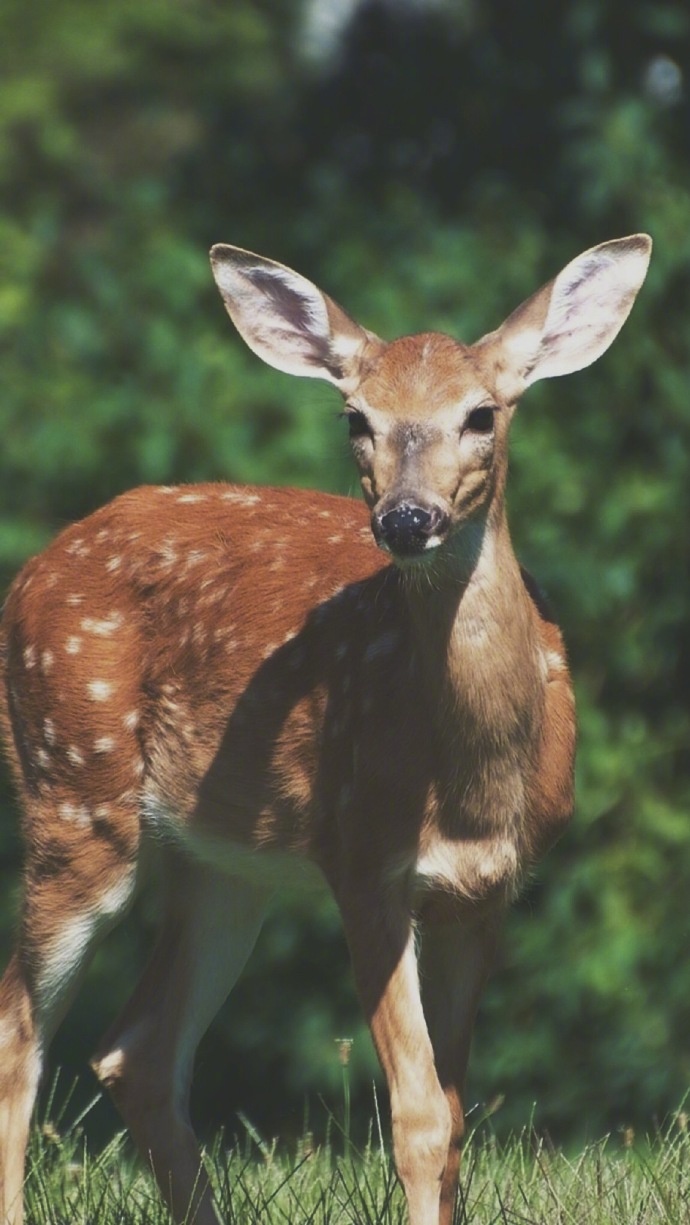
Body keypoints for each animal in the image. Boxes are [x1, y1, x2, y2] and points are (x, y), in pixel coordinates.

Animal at [0, 231, 652, 1225]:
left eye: (481, 414)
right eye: (356, 418)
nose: (408, 518)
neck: (467, 783)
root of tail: (27, 574)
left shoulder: (489, 890)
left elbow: (456, 1119)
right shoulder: (362, 858)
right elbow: (418, 1116)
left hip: (226, 863)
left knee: (136, 1049)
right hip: (71, 796)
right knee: (20, 1028)